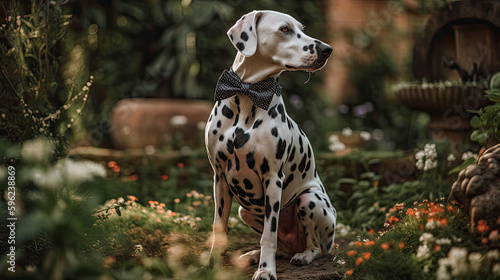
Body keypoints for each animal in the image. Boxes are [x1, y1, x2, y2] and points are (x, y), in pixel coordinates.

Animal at [205, 9, 338, 278]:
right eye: (285, 29)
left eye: (301, 29)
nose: (327, 49)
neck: (248, 94)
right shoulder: (220, 179)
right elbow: (218, 228)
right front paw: (212, 265)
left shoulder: (273, 179)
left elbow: (269, 235)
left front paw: (266, 271)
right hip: (244, 211)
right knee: (281, 248)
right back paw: (253, 255)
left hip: (310, 201)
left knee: (316, 246)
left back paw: (303, 255)